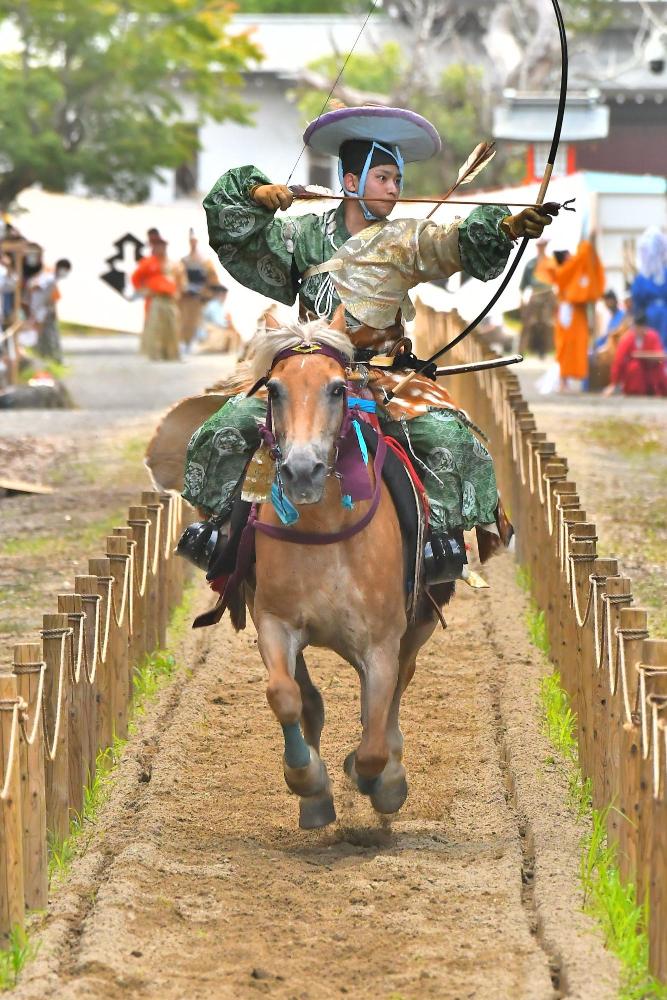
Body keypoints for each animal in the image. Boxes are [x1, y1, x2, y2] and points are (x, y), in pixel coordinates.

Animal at [237, 312, 452, 828]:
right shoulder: (273, 621)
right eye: (274, 388)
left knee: (395, 695)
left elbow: (374, 738)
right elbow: (286, 695)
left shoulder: (382, 642)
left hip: (417, 625)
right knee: (311, 699)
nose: (302, 471)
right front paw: (309, 782)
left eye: (337, 389)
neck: (325, 532)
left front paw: (379, 780)